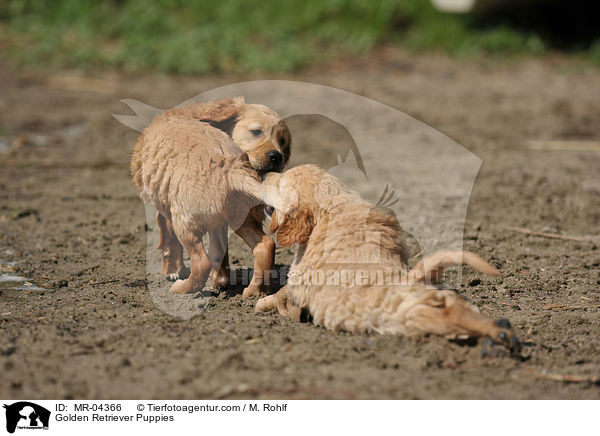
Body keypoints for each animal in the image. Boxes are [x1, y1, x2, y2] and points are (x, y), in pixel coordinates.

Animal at [130, 98, 292, 296]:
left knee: (202, 262)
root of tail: (230, 167)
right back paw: (256, 290)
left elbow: (169, 240)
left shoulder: (166, 208)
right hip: (240, 216)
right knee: (265, 245)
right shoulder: (218, 221)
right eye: (256, 132)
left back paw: (182, 288)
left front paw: (173, 271)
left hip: (184, 220)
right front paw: (220, 281)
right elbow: (219, 252)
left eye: (282, 141)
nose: (277, 156)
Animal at [258, 165, 520, 352]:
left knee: (451, 317)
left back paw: (500, 334)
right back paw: (500, 330)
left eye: (280, 183)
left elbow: (280, 294)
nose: (263, 174)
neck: (333, 209)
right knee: (462, 311)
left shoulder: (299, 283)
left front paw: (264, 304)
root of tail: (414, 279)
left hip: (415, 316)